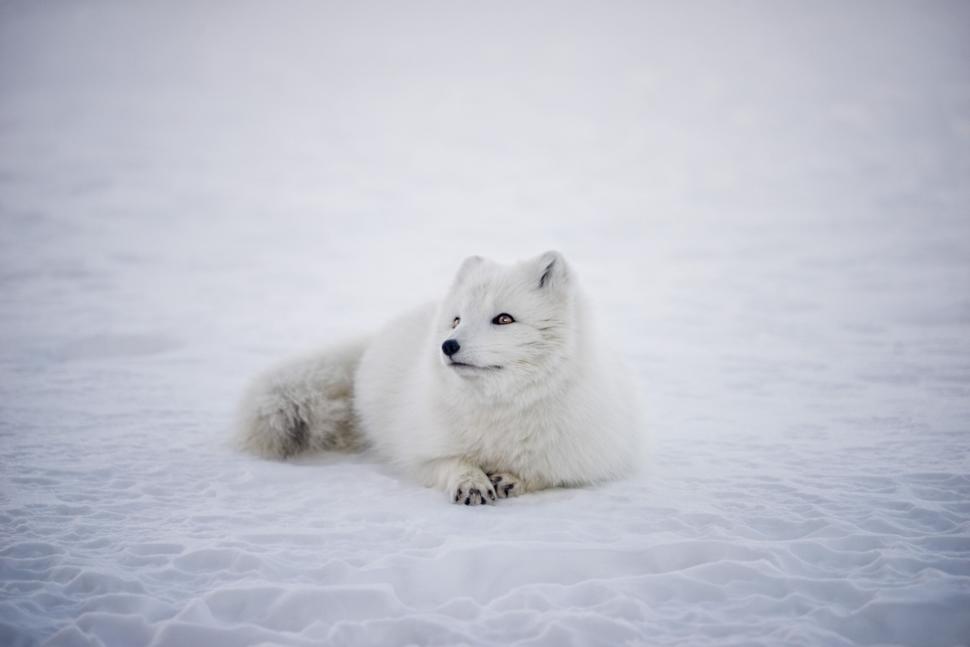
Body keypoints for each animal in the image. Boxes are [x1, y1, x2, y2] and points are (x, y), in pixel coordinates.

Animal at [236, 251, 644, 505]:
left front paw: (512, 478)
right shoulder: (420, 452)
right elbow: (450, 462)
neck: (500, 409)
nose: (448, 346)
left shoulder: (586, 459)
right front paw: (471, 482)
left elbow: (547, 473)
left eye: (504, 319)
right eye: (456, 320)